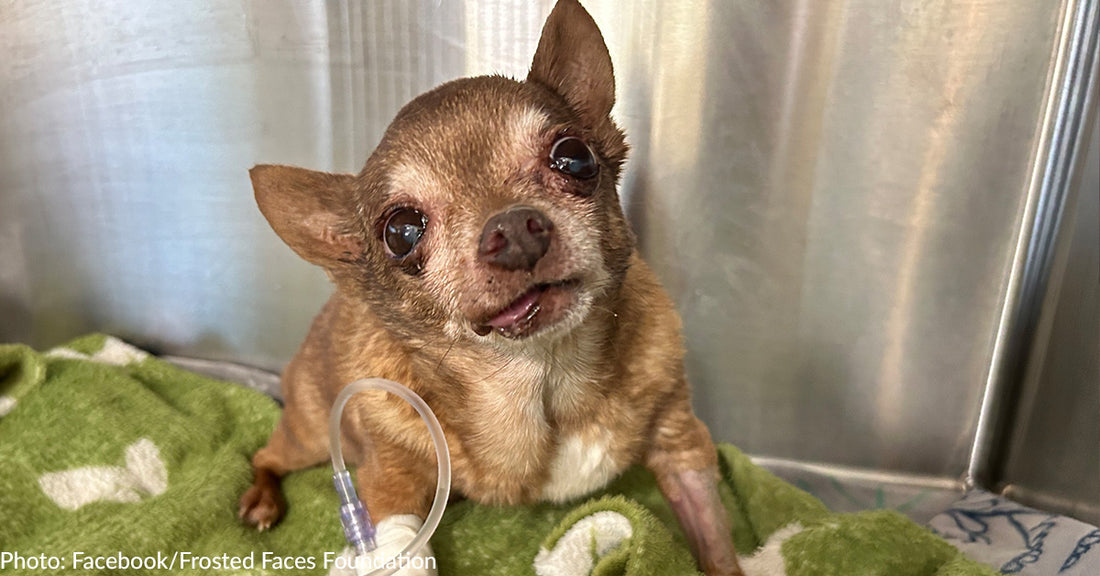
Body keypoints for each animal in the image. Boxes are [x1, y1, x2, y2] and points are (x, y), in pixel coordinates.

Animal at [238, 2, 739, 571]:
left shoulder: (683, 445)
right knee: (266, 456)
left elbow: (715, 538)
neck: (545, 383)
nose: (514, 230)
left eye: (575, 157)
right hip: (311, 432)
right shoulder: (389, 484)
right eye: (400, 232)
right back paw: (261, 499)